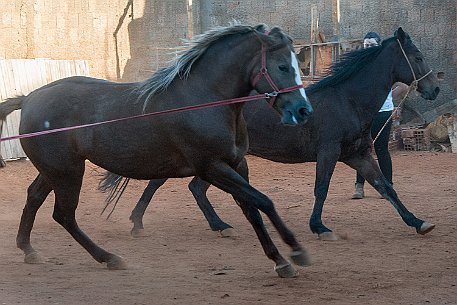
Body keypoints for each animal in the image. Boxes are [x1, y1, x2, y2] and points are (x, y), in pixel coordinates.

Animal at [0, 23, 314, 276]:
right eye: (282, 66)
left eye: (297, 66)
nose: (303, 110)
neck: (203, 100)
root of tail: (29, 98)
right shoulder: (213, 167)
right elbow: (264, 201)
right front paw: (297, 251)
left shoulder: (237, 165)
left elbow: (252, 209)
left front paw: (280, 261)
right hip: (67, 172)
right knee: (64, 215)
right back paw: (110, 258)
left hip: (55, 170)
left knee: (34, 197)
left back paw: (29, 250)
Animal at [100, 27, 438, 239]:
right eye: (418, 56)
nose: (434, 89)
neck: (348, 100)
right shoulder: (328, 152)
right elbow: (321, 188)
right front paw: (319, 227)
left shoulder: (356, 154)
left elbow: (386, 187)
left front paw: (418, 222)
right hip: (207, 158)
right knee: (168, 183)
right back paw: (141, 221)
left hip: (214, 161)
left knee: (191, 187)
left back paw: (216, 225)